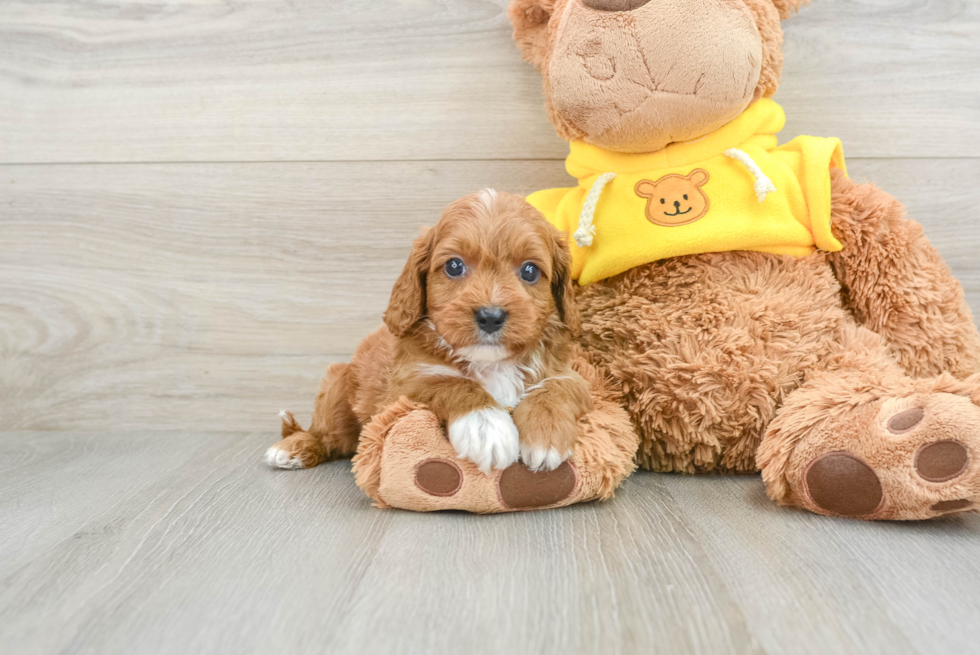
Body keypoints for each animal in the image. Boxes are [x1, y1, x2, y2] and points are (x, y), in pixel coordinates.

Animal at [264, 187, 592, 474]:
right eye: (454, 266)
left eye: (530, 271)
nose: (490, 316)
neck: (491, 364)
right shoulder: (403, 387)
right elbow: (450, 382)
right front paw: (486, 426)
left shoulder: (569, 373)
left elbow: (560, 386)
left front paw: (545, 434)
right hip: (337, 385)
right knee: (327, 435)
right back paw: (293, 448)